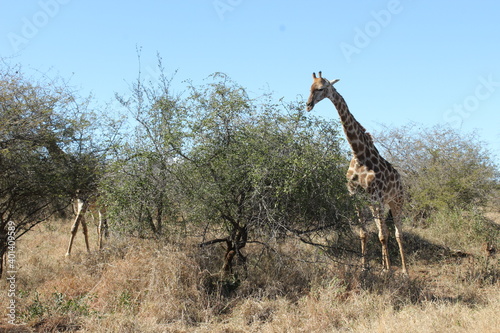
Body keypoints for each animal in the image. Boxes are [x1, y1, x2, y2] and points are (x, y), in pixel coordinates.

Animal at [306, 71, 408, 274]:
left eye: (321, 88)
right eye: (310, 88)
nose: (308, 105)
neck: (359, 154)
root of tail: (401, 179)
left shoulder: (376, 196)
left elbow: (383, 236)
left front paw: (388, 271)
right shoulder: (356, 197)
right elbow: (364, 233)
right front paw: (364, 267)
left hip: (396, 201)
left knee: (397, 233)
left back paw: (404, 270)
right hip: (377, 204)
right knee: (383, 230)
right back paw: (385, 266)